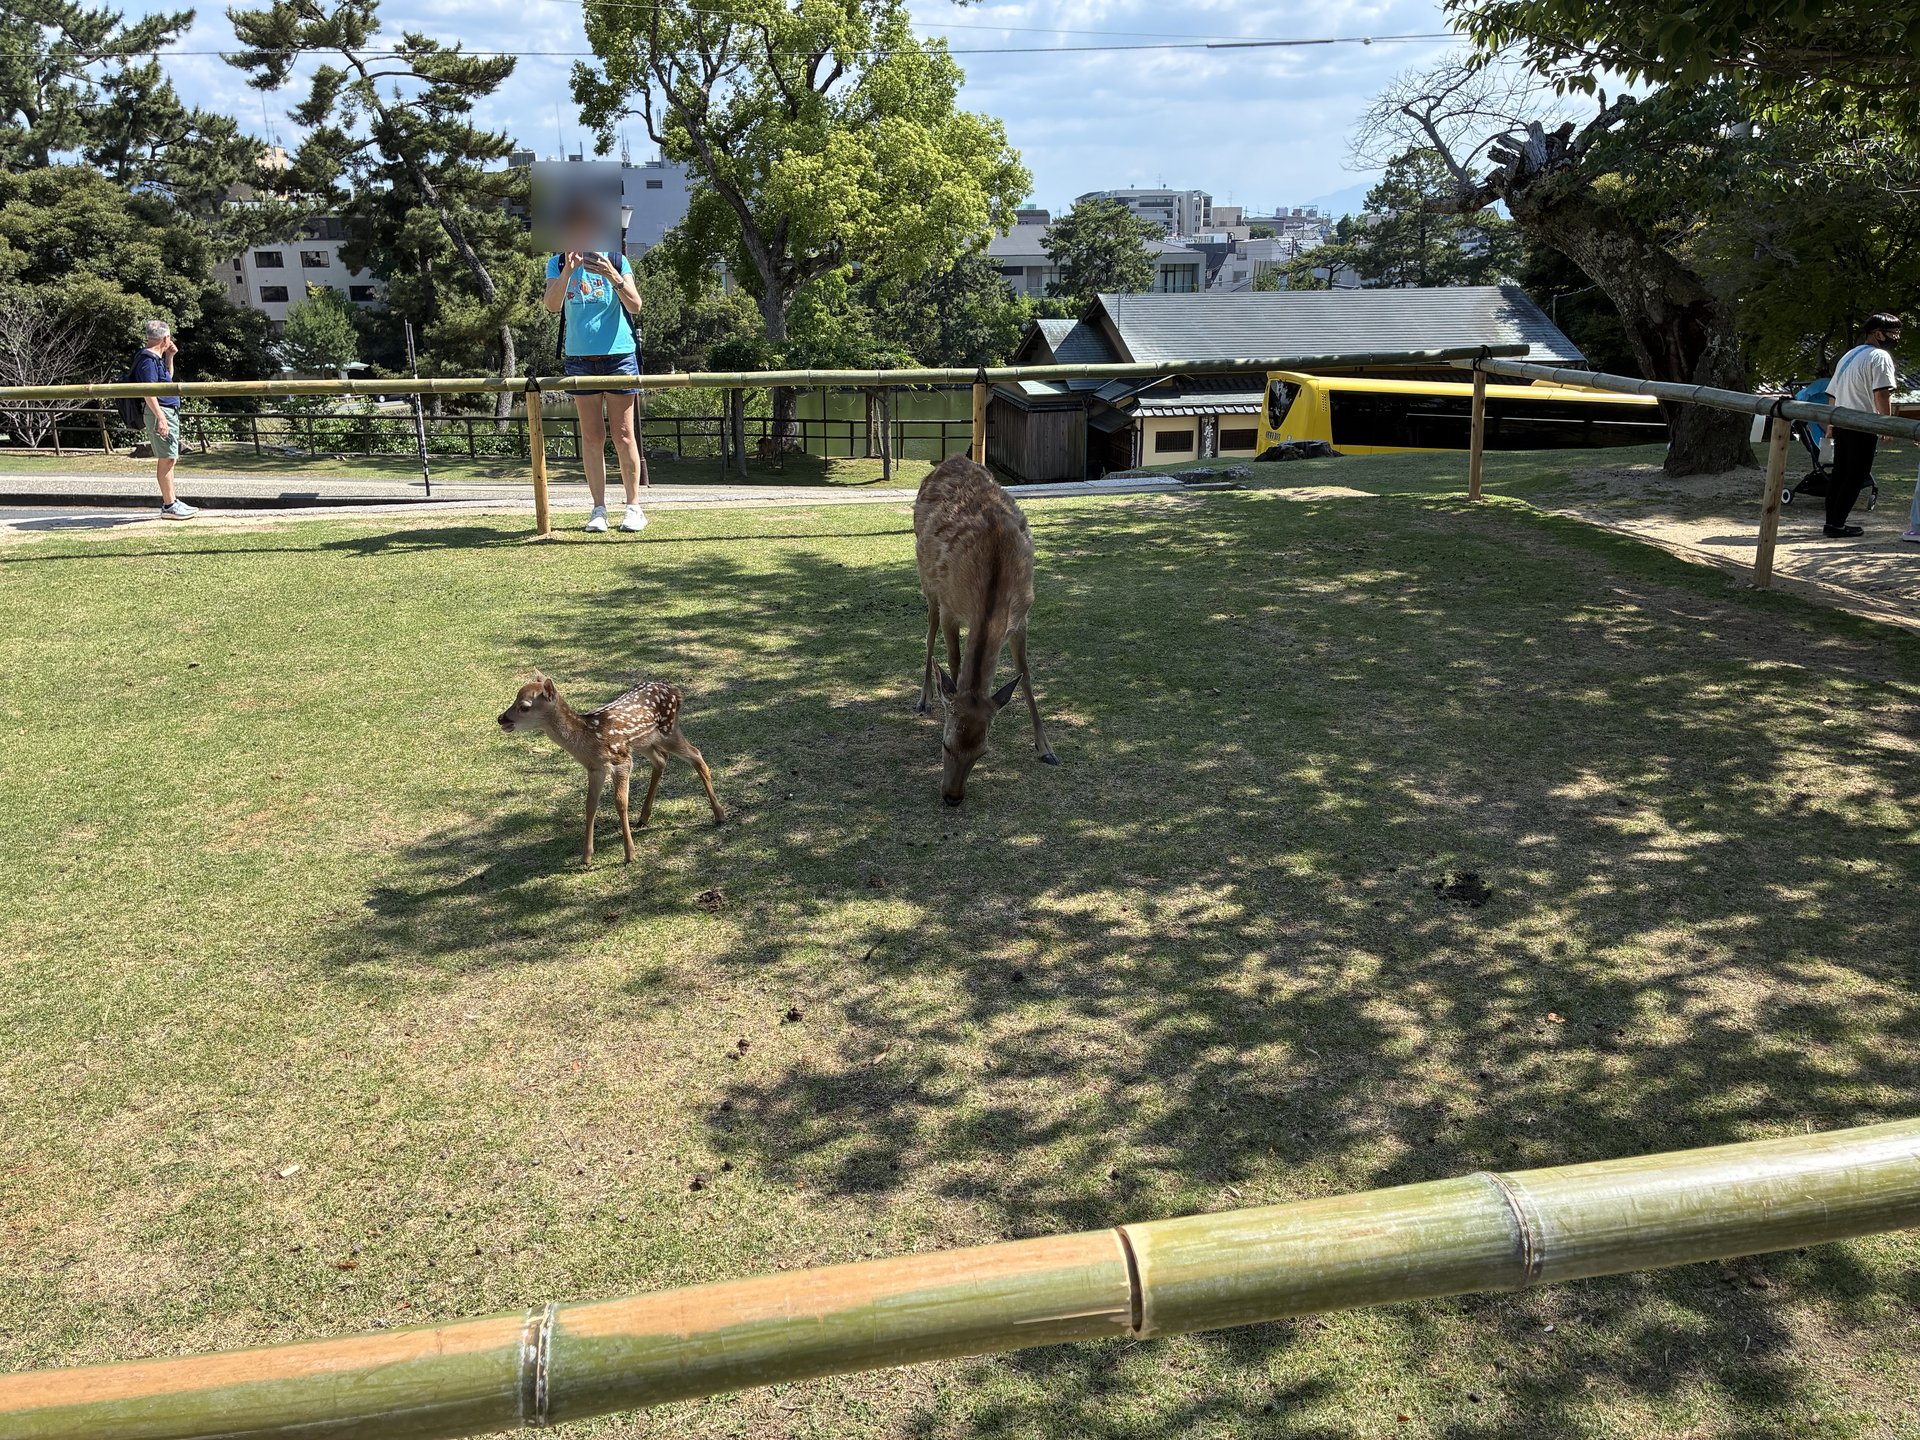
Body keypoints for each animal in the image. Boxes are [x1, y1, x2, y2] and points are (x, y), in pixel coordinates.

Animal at [497, 672, 725, 865]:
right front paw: (586, 857)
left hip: (668, 731)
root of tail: (675, 691)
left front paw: (630, 854)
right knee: (661, 759)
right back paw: (643, 817)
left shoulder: (621, 760)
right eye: (515, 698)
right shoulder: (595, 768)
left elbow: (620, 803)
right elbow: (590, 805)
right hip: (644, 741)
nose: (501, 718)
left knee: (696, 754)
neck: (588, 739)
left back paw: (719, 815)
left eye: (524, 706)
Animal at [913, 455, 1057, 806]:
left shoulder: (1021, 617)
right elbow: (953, 663)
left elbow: (1025, 675)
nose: (952, 797)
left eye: (983, 752)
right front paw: (941, 700)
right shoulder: (951, 607)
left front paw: (1046, 748)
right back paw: (924, 699)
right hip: (929, 582)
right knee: (929, 630)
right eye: (946, 744)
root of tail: (953, 458)